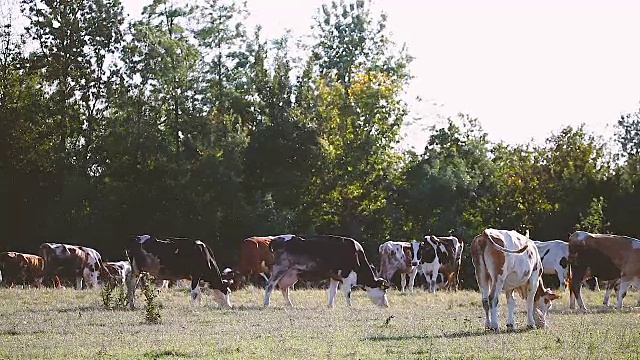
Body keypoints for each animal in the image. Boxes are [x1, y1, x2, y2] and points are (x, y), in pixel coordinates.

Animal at [262, 235, 390, 308]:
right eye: (383, 291)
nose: (386, 305)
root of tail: (276, 239)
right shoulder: (346, 276)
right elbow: (347, 292)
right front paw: (350, 306)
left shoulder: (335, 277)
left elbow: (333, 291)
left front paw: (330, 305)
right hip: (280, 269)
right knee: (270, 285)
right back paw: (266, 304)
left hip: (290, 274)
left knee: (284, 289)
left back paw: (289, 304)